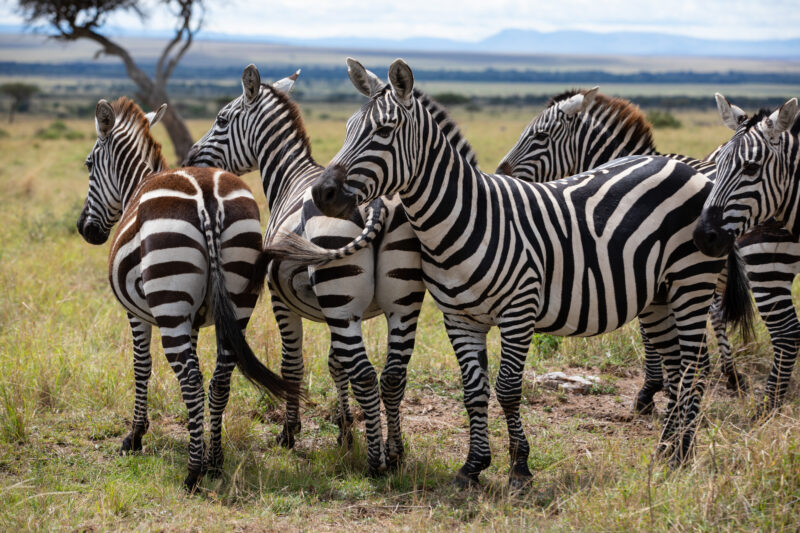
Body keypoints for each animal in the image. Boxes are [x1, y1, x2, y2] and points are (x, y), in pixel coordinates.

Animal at [76, 97, 297, 491]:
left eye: (89, 164)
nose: (85, 230)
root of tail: (207, 198)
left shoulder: (139, 313)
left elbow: (142, 365)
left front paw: (135, 436)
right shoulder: (192, 318)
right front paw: (198, 436)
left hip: (169, 297)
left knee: (192, 379)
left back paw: (193, 473)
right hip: (239, 293)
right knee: (220, 376)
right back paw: (215, 461)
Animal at [184, 62, 478, 474]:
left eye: (222, 119)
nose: (191, 157)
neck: (290, 177)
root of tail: (377, 204)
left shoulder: (282, 301)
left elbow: (294, 365)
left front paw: (290, 433)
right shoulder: (341, 312)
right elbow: (337, 364)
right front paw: (344, 430)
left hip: (344, 299)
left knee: (368, 376)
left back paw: (375, 463)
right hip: (401, 303)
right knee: (392, 376)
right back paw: (395, 452)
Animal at [268, 59, 753, 487]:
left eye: (383, 131)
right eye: (349, 128)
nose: (323, 194)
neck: (463, 217)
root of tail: (686, 167)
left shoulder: (519, 313)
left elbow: (506, 389)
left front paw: (519, 466)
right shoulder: (459, 319)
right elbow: (473, 391)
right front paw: (473, 466)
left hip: (692, 282)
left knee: (693, 365)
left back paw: (682, 452)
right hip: (657, 294)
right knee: (674, 363)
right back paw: (666, 448)